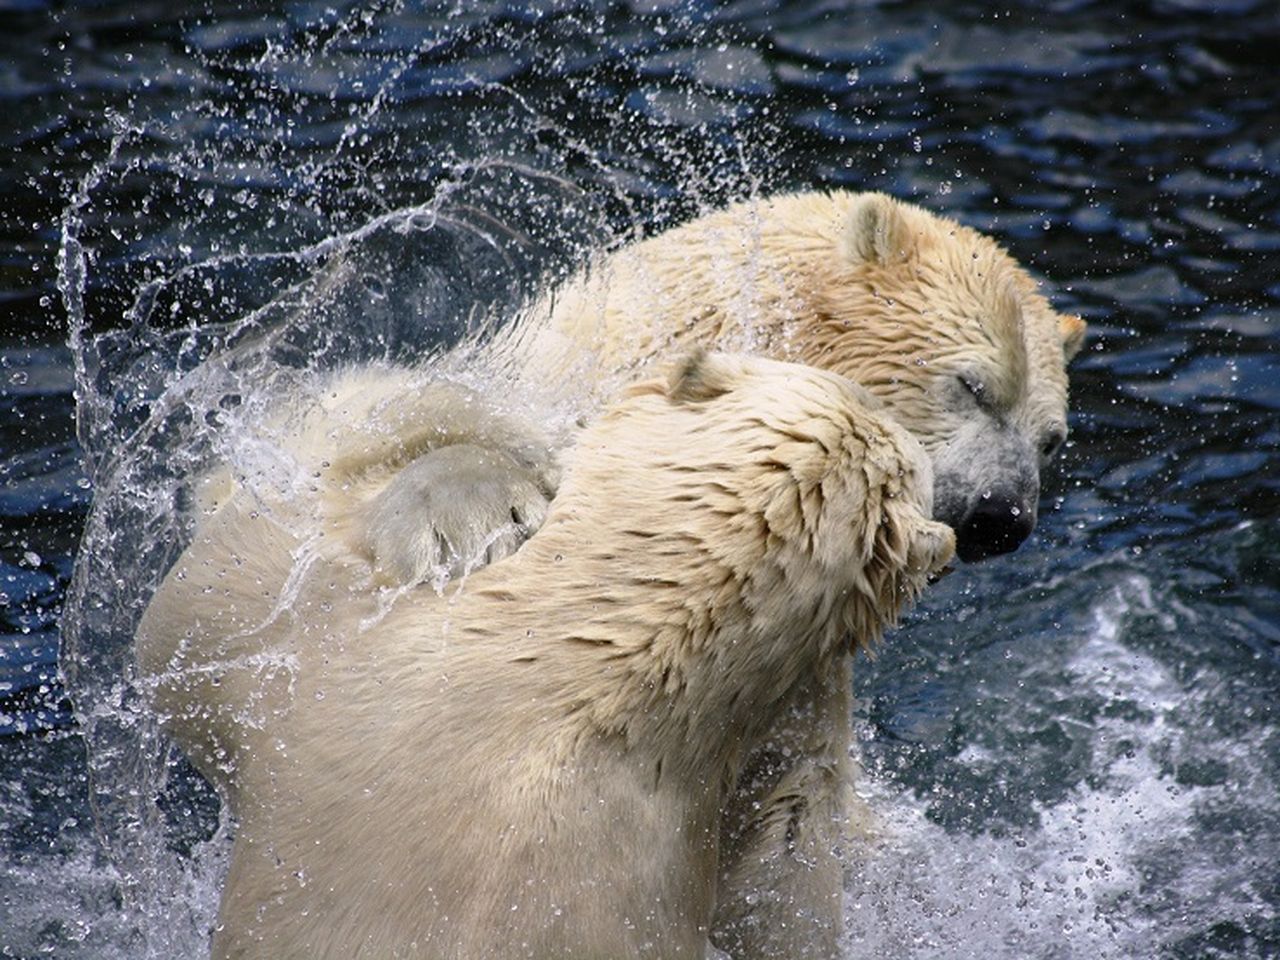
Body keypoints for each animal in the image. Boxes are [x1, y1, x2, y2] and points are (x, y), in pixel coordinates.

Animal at [350, 192, 1090, 957]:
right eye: (973, 386)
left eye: (1052, 439)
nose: (1003, 516)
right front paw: (465, 521)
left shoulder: (797, 678)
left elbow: (788, 807)